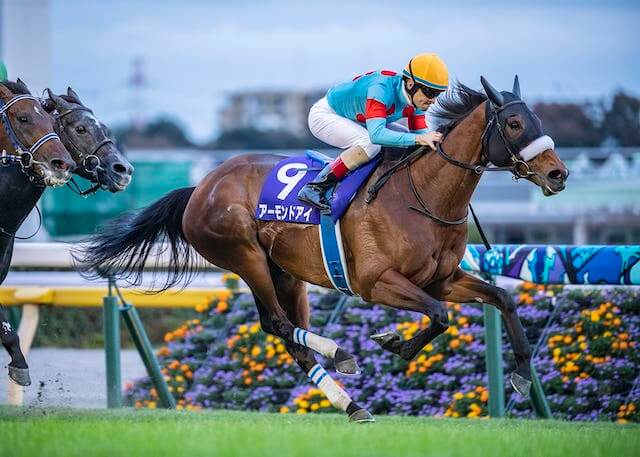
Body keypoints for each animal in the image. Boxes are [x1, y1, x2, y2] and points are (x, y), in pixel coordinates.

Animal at [76, 76, 568, 422]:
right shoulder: (378, 283)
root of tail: (201, 186)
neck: (424, 195)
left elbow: (501, 299)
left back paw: (351, 404)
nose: (558, 174)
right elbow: (439, 316)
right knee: (277, 322)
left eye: (541, 121)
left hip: (286, 272)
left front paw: (520, 374)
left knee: (288, 335)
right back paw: (340, 354)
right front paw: (394, 343)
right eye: (514, 123)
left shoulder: (443, 280)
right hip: (244, 257)